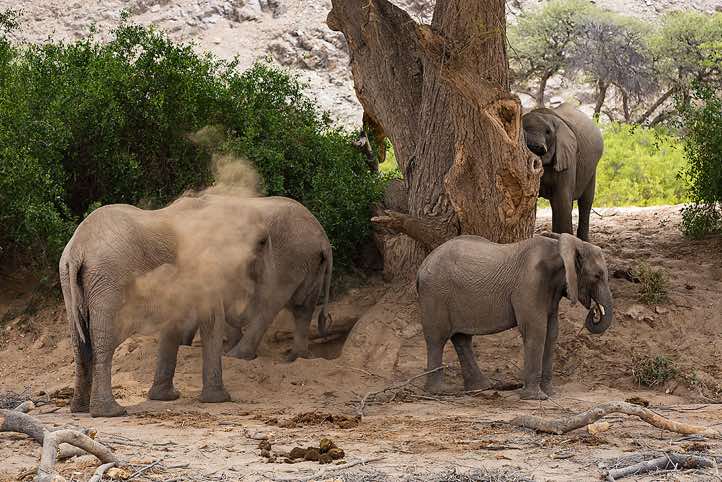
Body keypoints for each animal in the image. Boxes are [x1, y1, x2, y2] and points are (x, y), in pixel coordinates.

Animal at [59, 194, 331, 417]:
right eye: (262, 242)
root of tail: (77, 250)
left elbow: (175, 324)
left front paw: (166, 398)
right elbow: (211, 320)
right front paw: (219, 400)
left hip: (71, 284)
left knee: (80, 345)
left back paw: (80, 409)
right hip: (108, 280)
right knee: (102, 342)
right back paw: (111, 412)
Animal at [416, 232, 613, 400]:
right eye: (597, 275)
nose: (595, 310)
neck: (560, 247)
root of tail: (421, 266)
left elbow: (552, 332)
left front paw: (551, 394)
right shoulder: (530, 285)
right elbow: (536, 330)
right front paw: (536, 397)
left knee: (461, 338)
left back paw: (481, 387)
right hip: (435, 293)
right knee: (437, 338)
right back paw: (440, 391)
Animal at [522, 103, 604, 241]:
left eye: (548, 132)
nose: (535, 147)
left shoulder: (568, 155)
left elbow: (562, 198)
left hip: (592, 168)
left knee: (585, 202)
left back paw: (583, 241)